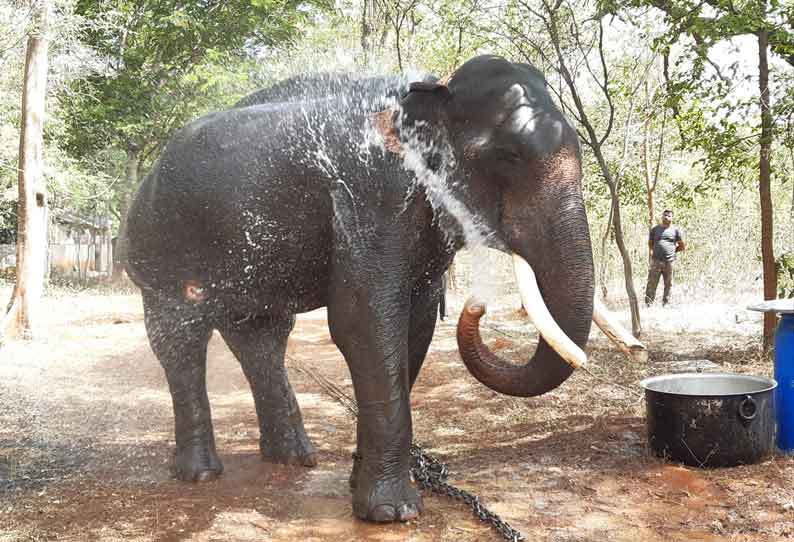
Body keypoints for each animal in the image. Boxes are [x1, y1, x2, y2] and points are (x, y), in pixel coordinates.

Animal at [124, 54, 592, 524]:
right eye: (508, 156)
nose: (476, 308)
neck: (434, 91)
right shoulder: (371, 198)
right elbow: (364, 322)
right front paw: (393, 513)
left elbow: (414, 327)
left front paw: (360, 487)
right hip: (162, 248)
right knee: (181, 339)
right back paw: (201, 474)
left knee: (260, 338)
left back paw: (295, 458)